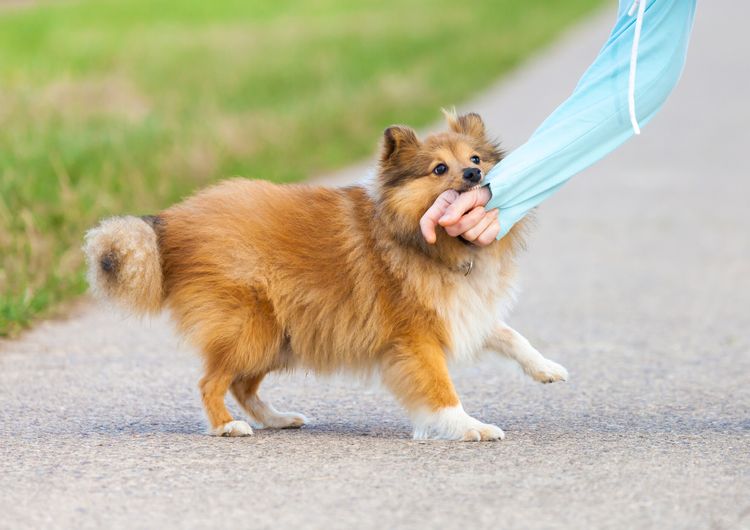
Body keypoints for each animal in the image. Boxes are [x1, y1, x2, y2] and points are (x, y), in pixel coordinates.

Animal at [85, 110, 568, 438]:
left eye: (476, 158)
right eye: (439, 169)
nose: (473, 173)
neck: (420, 238)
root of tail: (170, 223)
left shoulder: (460, 311)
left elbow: (509, 335)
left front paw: (546, 368)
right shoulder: (416, 337)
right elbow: (441, 389)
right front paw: (470, 427)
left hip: (279, 338)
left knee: (241, 385)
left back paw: (278, 419)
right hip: (252, 328)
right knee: (211, 382)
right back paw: (227, 427)